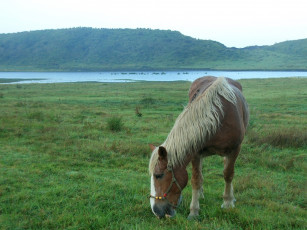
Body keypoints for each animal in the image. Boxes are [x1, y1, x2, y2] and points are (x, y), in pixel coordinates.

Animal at [149, 76, 250, 218]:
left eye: (158, 175)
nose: (156, 211)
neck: (219, 116)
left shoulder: (235, 149)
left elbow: (228, 174)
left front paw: (228, 202)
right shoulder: (196, 152)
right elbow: (196, 180)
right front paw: (194, 211)